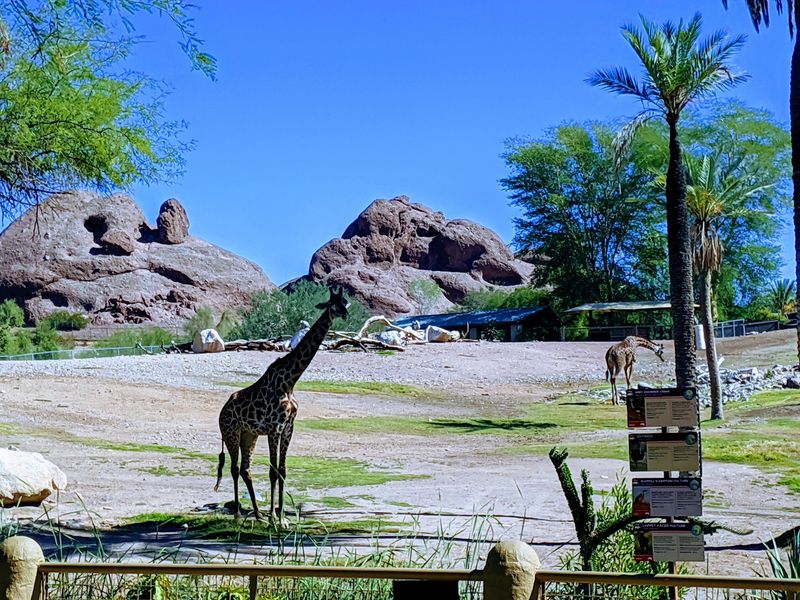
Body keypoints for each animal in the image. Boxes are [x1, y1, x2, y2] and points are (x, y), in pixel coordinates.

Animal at [214, 287, 349, 523]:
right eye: (333, 304)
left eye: (344, 301)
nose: (345, 314)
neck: (290, 381)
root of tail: (222, 412)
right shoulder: (274, 428)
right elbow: (272, 471)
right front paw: (274, 520)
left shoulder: (288, 427)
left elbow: (283, 470)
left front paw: (281, 517)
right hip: (231, 433)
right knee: (234, 468)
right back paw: (239, 515)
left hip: (249, 435)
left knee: (246, 469)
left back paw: (258, 514)